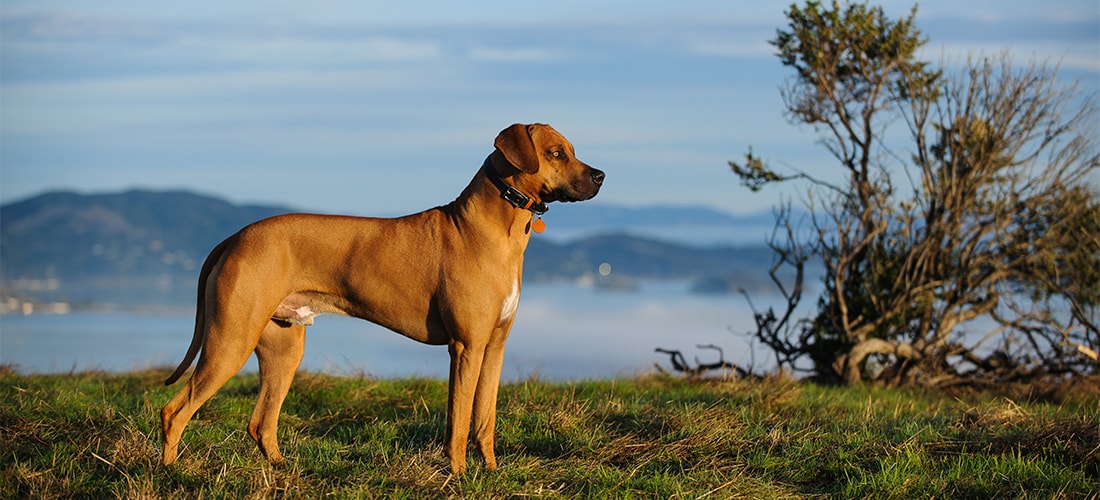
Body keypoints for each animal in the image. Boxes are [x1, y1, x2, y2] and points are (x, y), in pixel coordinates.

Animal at [160, 123, 607, 474]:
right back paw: (171, 472)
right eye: (555, 153)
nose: (601, 175)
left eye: (571, 150)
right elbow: (460, 419)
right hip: (230, 341)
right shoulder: (466, 347)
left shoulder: (493, 347)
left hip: (283, 349)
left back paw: (281, 467)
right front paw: (459, 475)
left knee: (260, 422)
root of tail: (235, 237)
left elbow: (484, 418)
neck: (496, 230)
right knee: (175, 411)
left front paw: (492, 471)